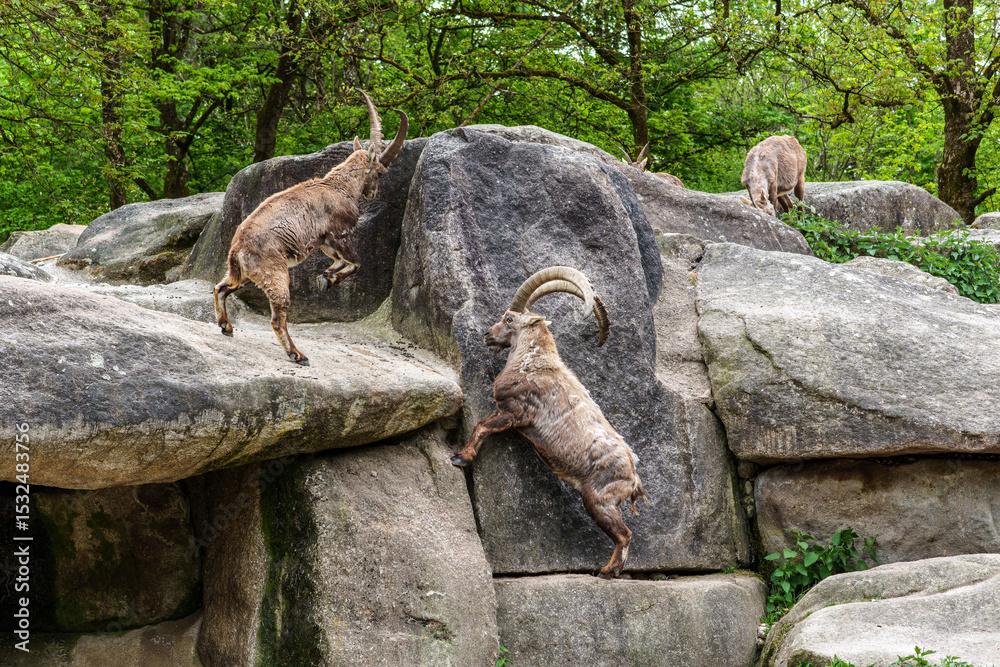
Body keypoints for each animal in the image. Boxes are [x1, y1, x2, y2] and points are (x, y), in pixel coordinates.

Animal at [213, 89, 407, 365]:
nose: (372, 193)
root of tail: (236, 248)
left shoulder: (324, 242)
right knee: (277, 318)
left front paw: (325, 276)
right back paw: (298, 355)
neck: (338, 186)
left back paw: (226, 326)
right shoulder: (340, 233)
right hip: (275, 273)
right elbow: (357, 262)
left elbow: (340, 261)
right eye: (380, 171)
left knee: (220, 288)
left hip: (247, 275)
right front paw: (327, 280)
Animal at [451, 266, 646, 579]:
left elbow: (482, 426)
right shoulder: (506, 412)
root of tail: (633, 478)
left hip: (598, 500)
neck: (533, 360)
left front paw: (461, 458)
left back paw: (607, 571)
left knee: (624, 534)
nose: (486, 335)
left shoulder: (516, 413)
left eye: (509, 318)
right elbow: (482, 423)